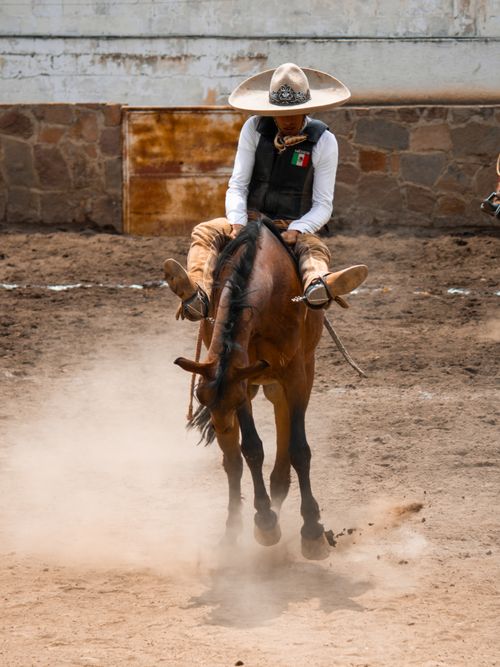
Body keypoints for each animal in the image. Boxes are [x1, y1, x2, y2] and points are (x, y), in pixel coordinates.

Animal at [174, 217, 331, 560]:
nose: (221, 428)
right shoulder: (241, 381)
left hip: (288, 381)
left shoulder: (295, 377)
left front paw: (312, 530)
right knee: (233, 462)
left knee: (280, 450)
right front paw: (264, 520)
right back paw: (233, 531)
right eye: (203, 398)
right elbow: (252, 450)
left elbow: (299, 450)